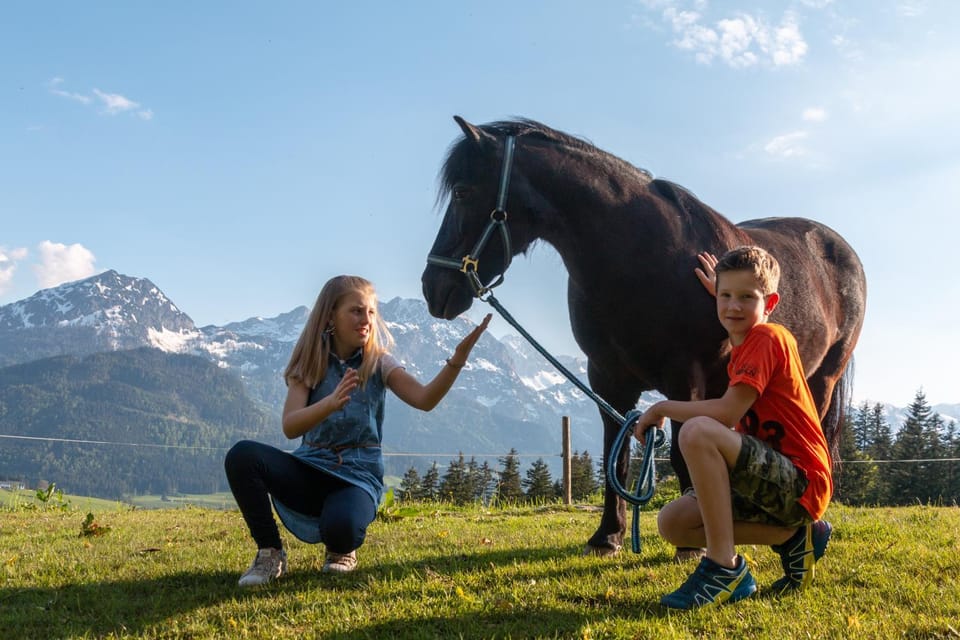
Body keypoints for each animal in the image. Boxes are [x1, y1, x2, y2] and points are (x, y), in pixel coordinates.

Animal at [421, 116, 867, 556]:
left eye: (462, 191)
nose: (433, 287)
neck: (639, 258)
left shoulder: (685, 376)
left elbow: (681, 448)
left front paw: (692, 543)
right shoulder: (606, 379)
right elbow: (614, 457)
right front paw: (608, 535)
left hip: (822, 380)